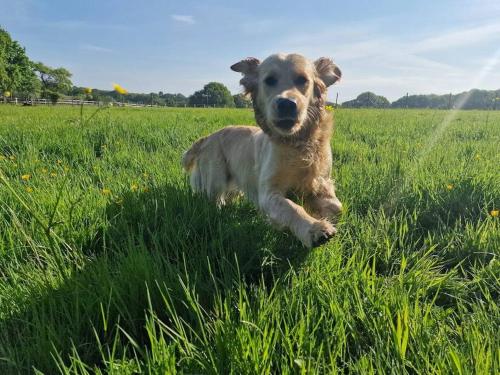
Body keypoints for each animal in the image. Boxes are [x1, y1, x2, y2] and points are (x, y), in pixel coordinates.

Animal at [182, 52, 342, 247]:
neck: (296, 144)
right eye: (269, 80)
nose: (286, 104)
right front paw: (315, 229)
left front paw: (324, 215)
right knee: (214, 200)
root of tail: (208, 137)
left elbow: (337, 207)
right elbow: (291, 207)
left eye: (303, 80)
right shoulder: (268, 192)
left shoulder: (322, 180)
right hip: (215, 179)